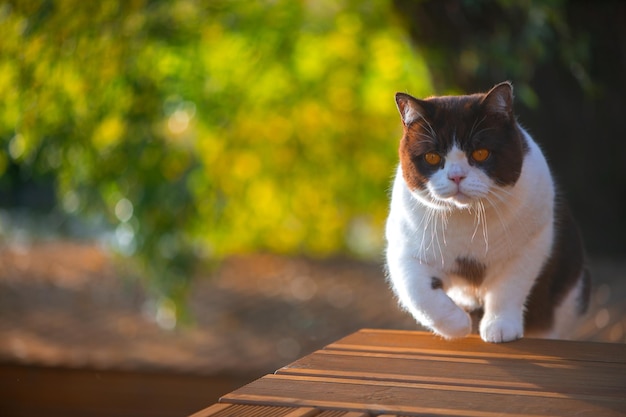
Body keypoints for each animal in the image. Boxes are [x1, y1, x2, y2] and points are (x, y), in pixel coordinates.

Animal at [382, 81, 588, 342]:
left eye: (480, 153)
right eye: (432, 157)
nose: (456, 176)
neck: (468, 219)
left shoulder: (531, 243)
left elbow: (508, 288)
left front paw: (500, 328)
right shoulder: (404, 251)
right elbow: (421, 294)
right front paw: (458, 324)